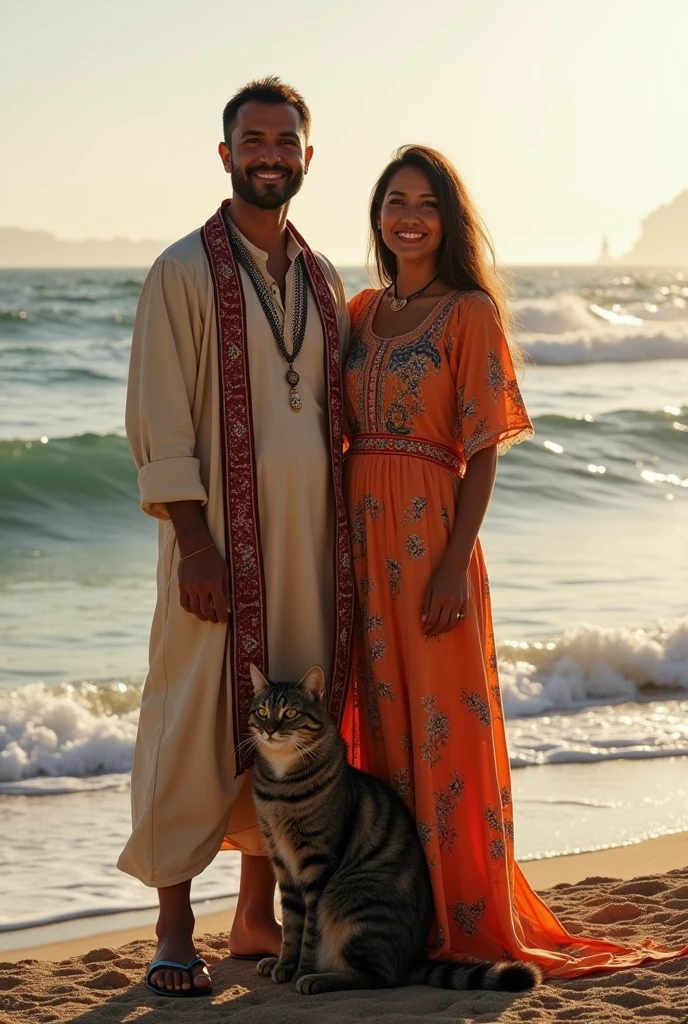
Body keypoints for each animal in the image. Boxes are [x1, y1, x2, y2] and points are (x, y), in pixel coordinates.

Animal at [248, 667, 544, 995]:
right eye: (262, 712)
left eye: (290, 713)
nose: (269, 730)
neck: (280, 787)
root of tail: (408, 960)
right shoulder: (282, 862)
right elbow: (291, 925)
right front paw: (284, 964)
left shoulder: (317, 866)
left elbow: (309, 933)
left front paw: (302, 970)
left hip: (356, 904)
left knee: (378, 978)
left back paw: (319, 978)